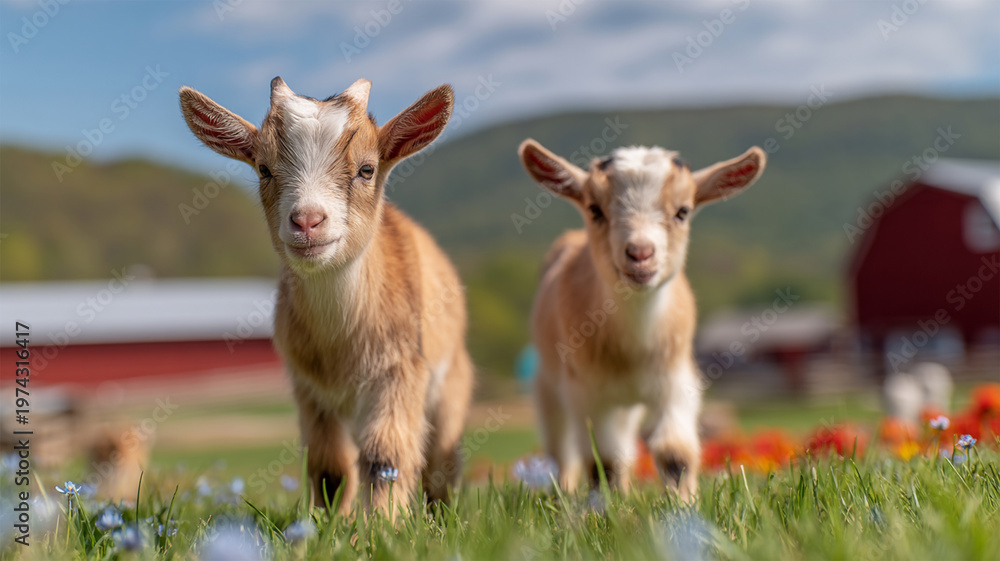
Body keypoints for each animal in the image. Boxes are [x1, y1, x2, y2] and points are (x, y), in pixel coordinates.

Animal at [179, 77, 473, 517]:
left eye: (367, 169)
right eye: (264, 169)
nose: (307, 221)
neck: (342, 347)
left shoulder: (400, 372)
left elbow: (385, 458)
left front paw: (382, 523)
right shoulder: (310, 390)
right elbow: (328, 467)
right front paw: (326, 522)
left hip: (451, 384)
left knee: (441, 462)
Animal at [518, 139, 766, 499]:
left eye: (683, 211)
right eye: (595, 209)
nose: (640, 253)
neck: (631, 349)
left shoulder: (677, 379)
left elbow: (675, 451)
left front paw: (682, 502)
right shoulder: (584, 392)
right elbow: (603, 459)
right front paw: (607, 504)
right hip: (548, 386)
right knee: (561, 450)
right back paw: (565, 491)